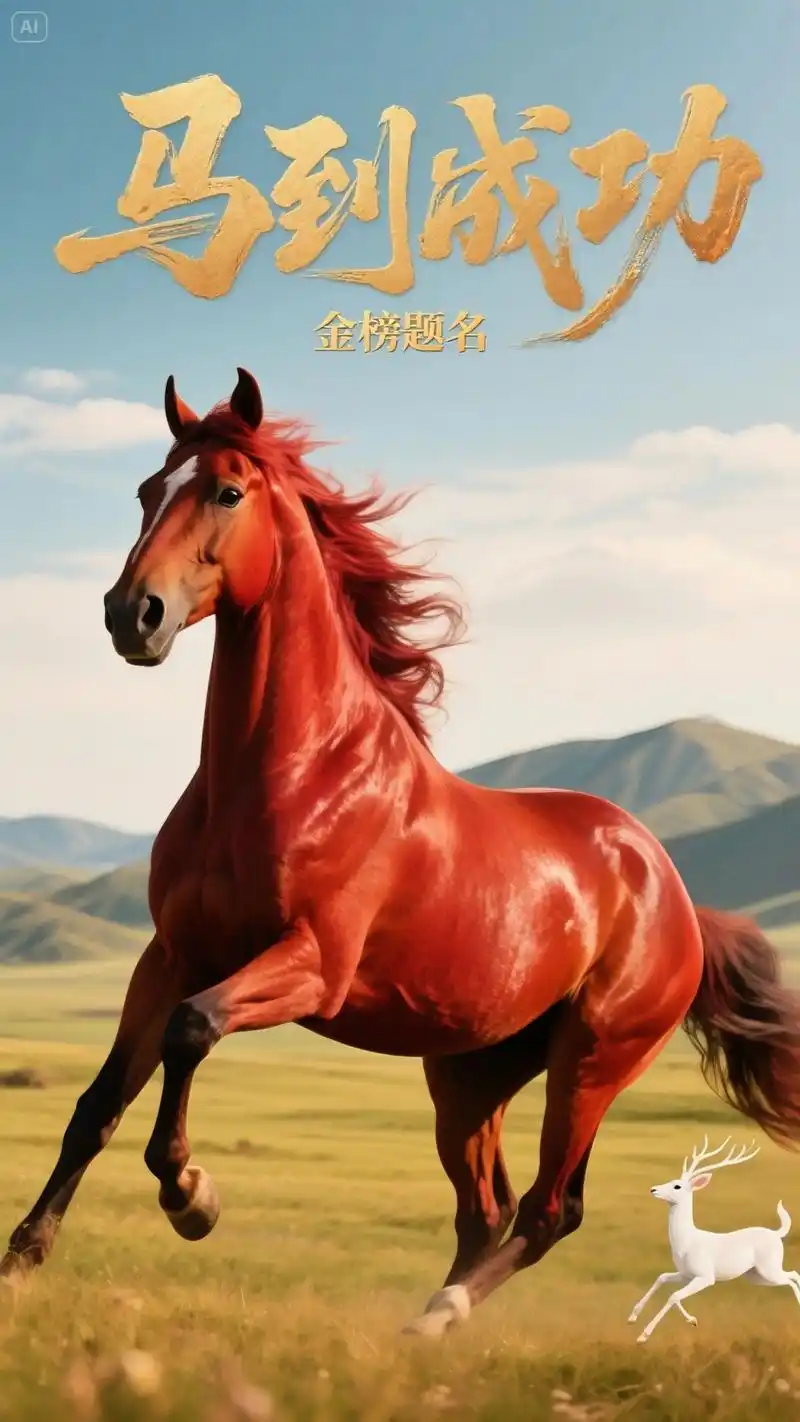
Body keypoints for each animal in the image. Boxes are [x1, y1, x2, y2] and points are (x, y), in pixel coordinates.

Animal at [628, 1136, 799, 1343]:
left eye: (677, 1186)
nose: (653, 1189)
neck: (686, 1242)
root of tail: (776, 1233)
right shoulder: (686, 1273)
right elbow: (663, 1279)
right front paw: (633, 1317)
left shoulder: (706, 1276)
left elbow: (674, 1295)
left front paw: (644, 1335)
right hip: (756, 1276)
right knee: (792, 1277)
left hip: (769, 1268)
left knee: (793, 1276)